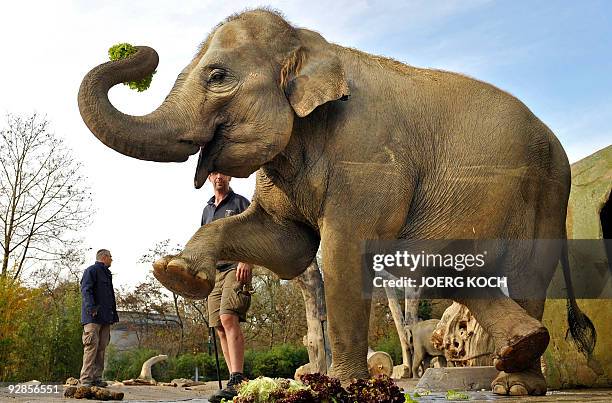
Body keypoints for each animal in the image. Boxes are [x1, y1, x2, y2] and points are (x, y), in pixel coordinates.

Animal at [79, 7, 596, 396]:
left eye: (218, 75)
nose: (139, 53)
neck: (310, 44)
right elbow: (285, 243)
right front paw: (178, 274)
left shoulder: (365, 156)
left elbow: (342, 250)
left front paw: (344, 387)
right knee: (462, 273)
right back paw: (521, 349)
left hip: (548, 192)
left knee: (526, 274)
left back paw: (515, 382)